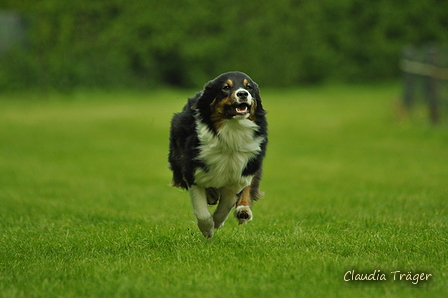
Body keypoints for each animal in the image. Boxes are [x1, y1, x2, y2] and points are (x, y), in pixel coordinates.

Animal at [167, 71, 266, 237]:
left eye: (249, 87)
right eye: (226, 87)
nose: (243, 94)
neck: (232, 130)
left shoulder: (242, 169)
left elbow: (227, 203)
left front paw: (218, 222)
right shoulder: (193, 169)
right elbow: (201, 210)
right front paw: (208, 229)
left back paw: (243, 211)